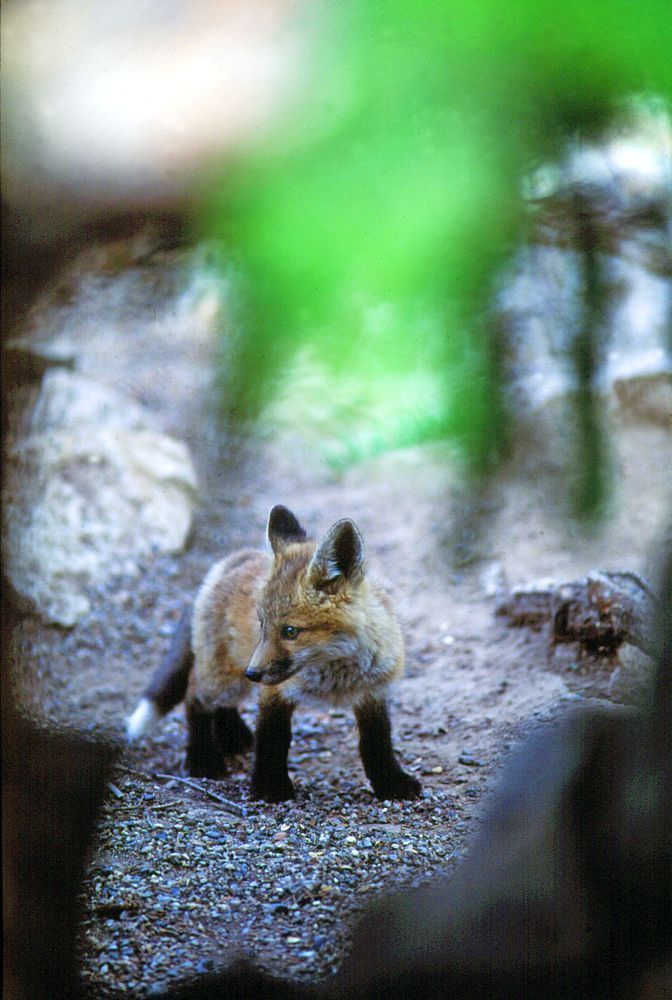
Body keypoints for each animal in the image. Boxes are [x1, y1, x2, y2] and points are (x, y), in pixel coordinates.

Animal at [126, 505, 421, 803]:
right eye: (262, 625)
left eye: (290, 631)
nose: (253, 673)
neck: (335, 675)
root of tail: (234, 559)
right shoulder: (275, 691)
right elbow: (273, 739)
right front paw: (270, 787)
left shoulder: (373, 692)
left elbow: (377, 742)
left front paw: (391, 782)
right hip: (224, 680)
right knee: (194, 696)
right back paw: (202, 758)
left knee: (221, 706)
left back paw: (233, 738)